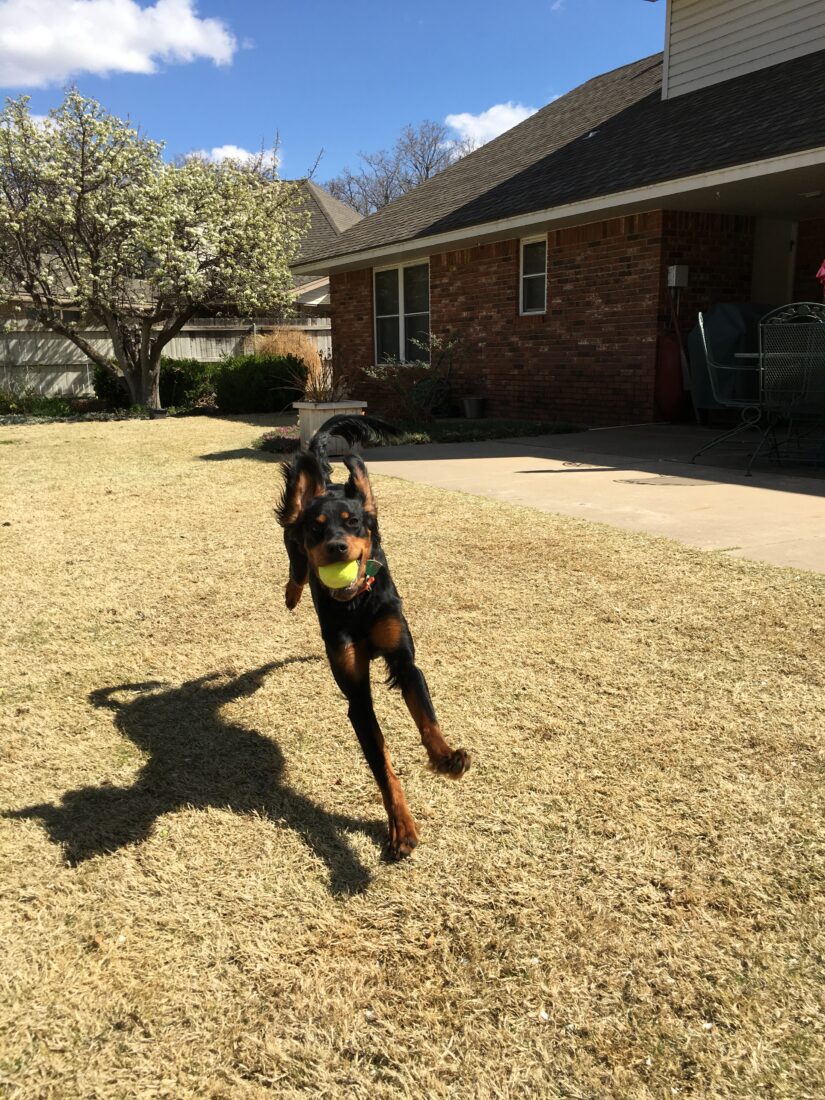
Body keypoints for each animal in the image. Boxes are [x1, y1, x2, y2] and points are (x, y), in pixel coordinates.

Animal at [279, 413, 468, 858]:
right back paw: (292, 595)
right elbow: (382, 764)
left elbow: (427, 720)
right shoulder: (357, 695)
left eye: (354, 523)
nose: (336, 546)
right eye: (318, 529)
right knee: (297, 569)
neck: (356, 604)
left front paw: (446, 758)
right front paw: (401, 827)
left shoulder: (404, 660)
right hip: (292, 544)